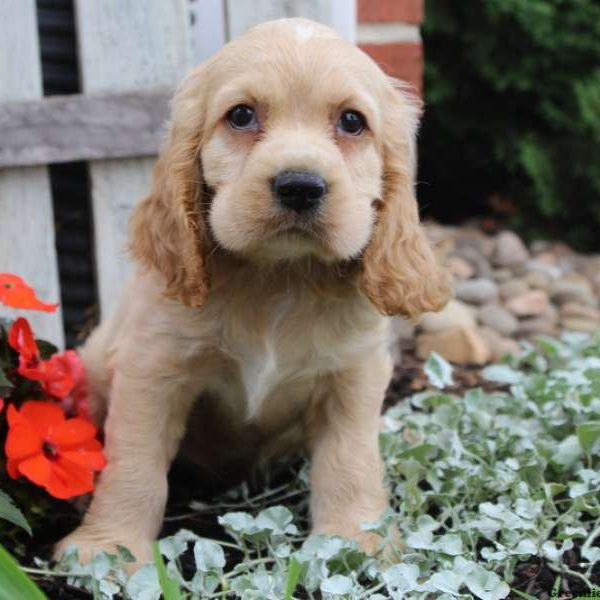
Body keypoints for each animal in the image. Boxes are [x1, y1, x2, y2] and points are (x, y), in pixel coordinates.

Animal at [57, 16, 450, 564]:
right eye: (241, 116)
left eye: (352, 122)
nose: (300, 186)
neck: (278, 277)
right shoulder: (152, 368)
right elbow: (133, 462)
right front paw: (110, 550)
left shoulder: (353, 374)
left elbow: (350, 460)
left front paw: (355, 542)